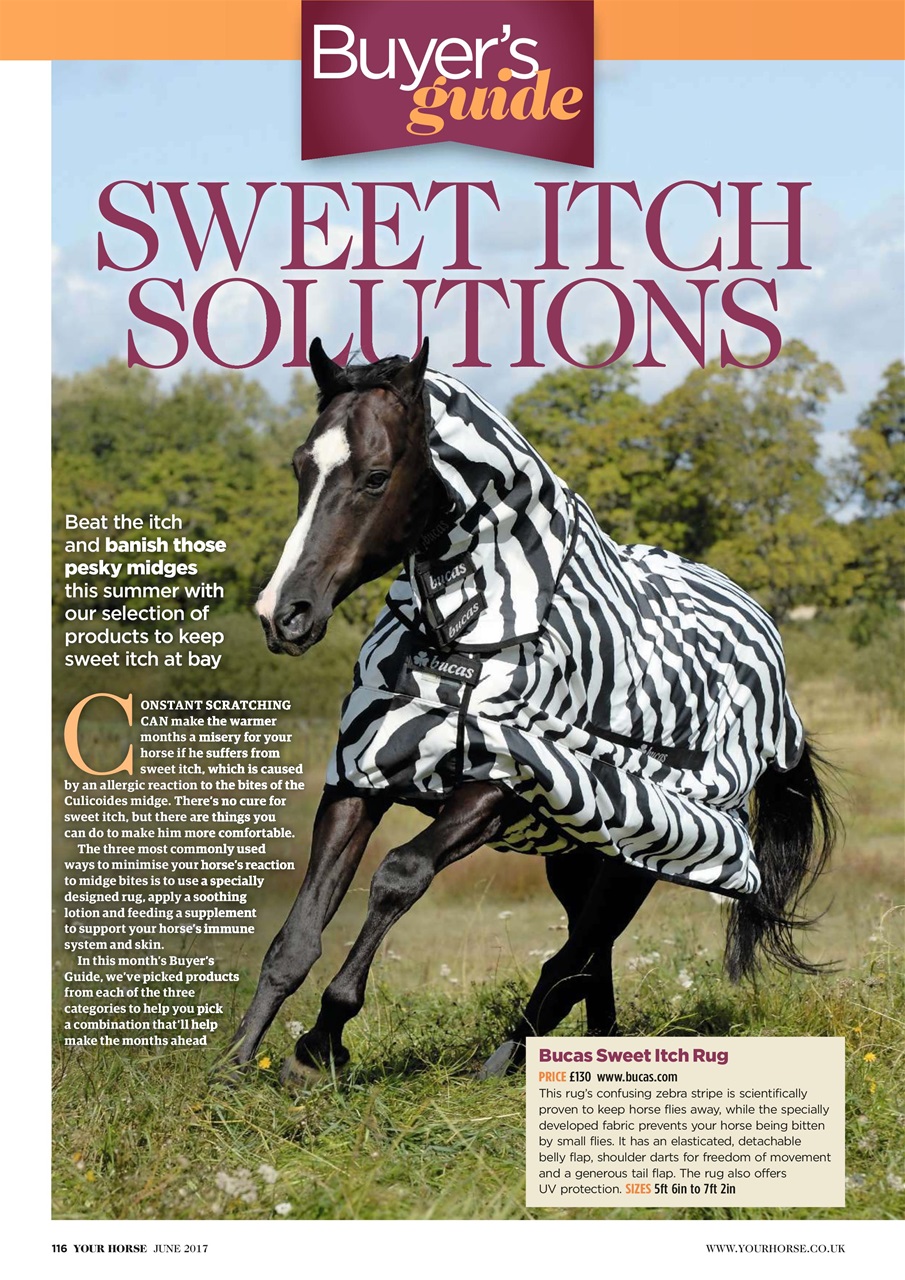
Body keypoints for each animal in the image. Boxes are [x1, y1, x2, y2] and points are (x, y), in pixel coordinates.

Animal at [227, 338, 835, 1083]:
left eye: (374, 477)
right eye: (301, 467)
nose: (283, 614)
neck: (467, 636)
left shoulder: (497, 785)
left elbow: (399, 876)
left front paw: (320, 1042)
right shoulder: (361, 774)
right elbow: (297, 933)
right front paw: (235, 1064)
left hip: (643, 852)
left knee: (573, 957)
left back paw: (502, 1063)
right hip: (577, 855)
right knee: (588, 959)